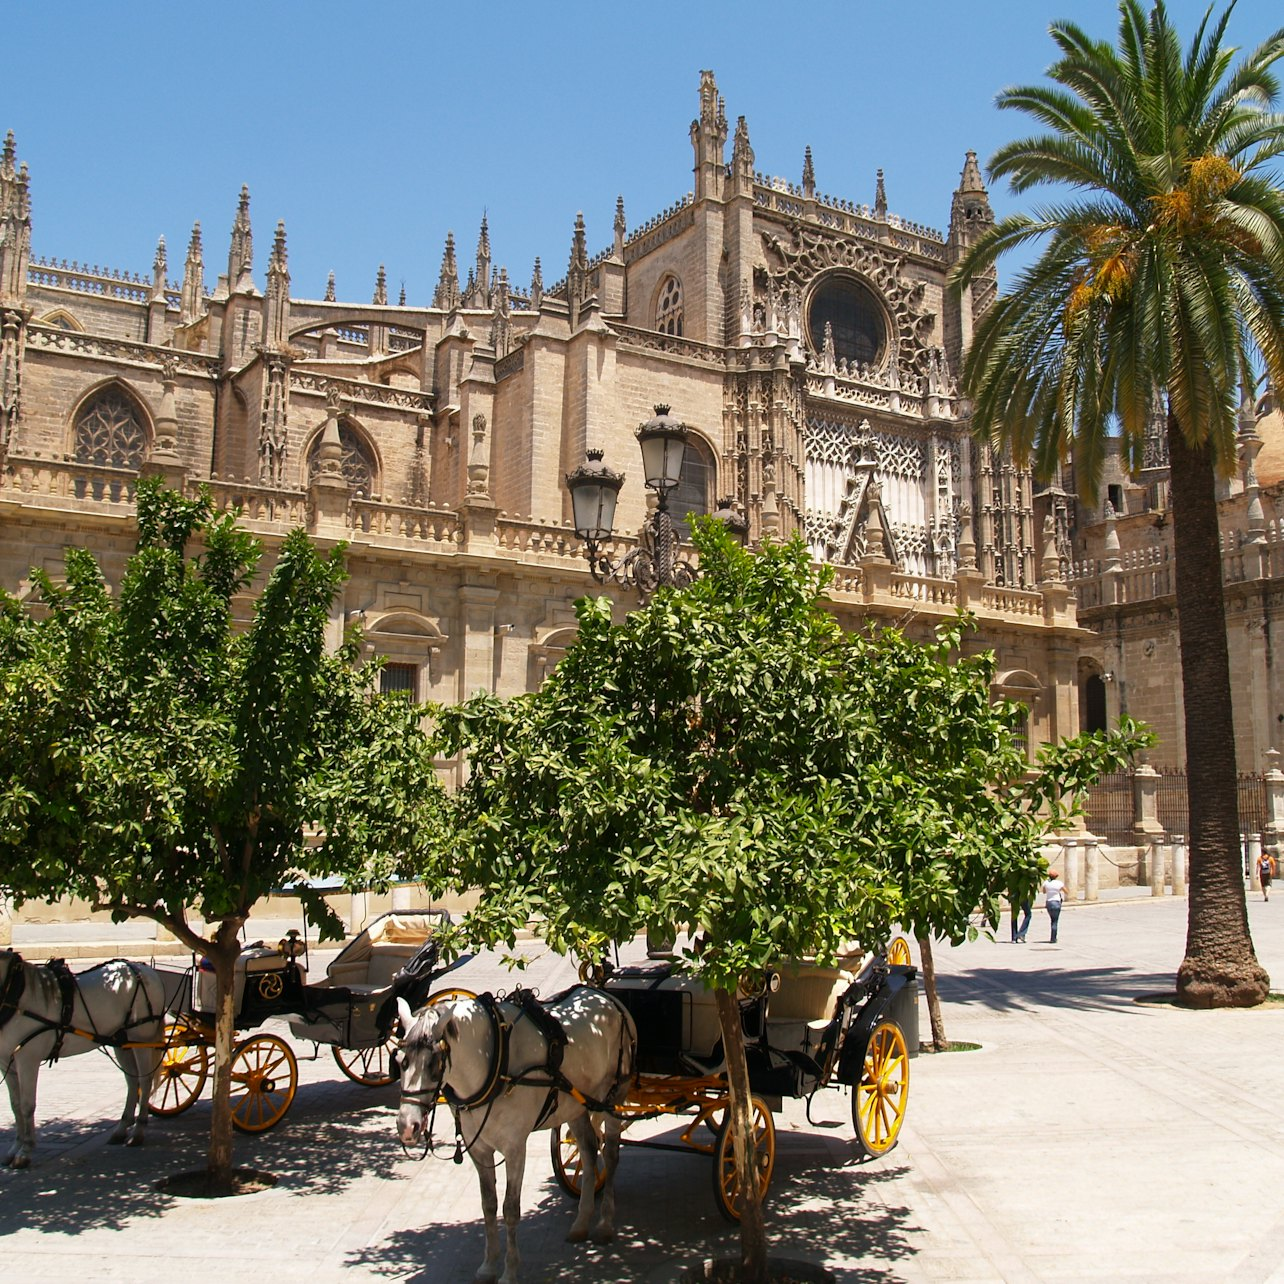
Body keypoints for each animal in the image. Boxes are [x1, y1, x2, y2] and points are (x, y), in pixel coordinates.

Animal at [0, 950, 168, 1171]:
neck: (16, 993)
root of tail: (145, 970)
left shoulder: (28, 1060)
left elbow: (28, 1105)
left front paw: (25, 1151)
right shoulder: (7, 1063)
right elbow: (16, 1106)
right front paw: (14, 1149)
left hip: (141, 1039)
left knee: (145, 1080)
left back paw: (138, 1132)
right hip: (122, 1041)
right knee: (132, 1082)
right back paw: (122, 1128)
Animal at [395, 986, 636, 1284]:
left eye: (434, 1063)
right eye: (399, 1061)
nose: (407, 1126)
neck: (494, 1059)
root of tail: (605, 996)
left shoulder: (515, 1148)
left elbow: (510, 1209)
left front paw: (509, 1271)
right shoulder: (479, 1149)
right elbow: (488, 1205)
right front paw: (488, 1265)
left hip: (615, 1095)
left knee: (611, 1155)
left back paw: (604, 1224)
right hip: (575, 1105)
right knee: (590, 1153)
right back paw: (581, 1222)